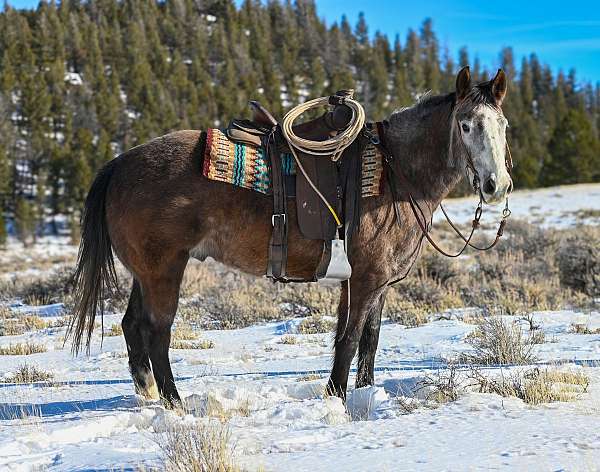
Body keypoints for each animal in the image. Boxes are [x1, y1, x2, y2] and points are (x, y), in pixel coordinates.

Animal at [69, 65, 510, 406]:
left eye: (502, 125)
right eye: (466, 125)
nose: (496, 185)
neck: (394, 173)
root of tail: (119, 164)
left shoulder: (378, 282)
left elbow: (370, 340)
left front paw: (364, 395)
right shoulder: (365, 279)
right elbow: (349, 340)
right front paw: (336, 400)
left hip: (145, 274)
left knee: (131, 326)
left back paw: (147, 396)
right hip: (164, 271)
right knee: (157, 332)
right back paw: (176, 404)